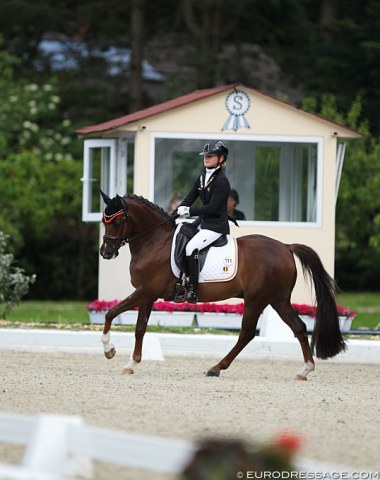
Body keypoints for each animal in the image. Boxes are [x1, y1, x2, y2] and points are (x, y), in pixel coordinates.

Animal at [99, 191, 346, 378]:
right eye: (103, 220)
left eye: (118, 221)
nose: (105, 252)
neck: (154, 241)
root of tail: (286, 247)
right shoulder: (148, 295)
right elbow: (140, 328)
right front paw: (131, 364)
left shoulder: (144, 291)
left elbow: (111, 313)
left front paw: (109, 350)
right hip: (278, 300)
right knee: (299, 327)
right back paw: (305, 370)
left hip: (257, 299)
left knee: (247, 333)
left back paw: (216, 368)